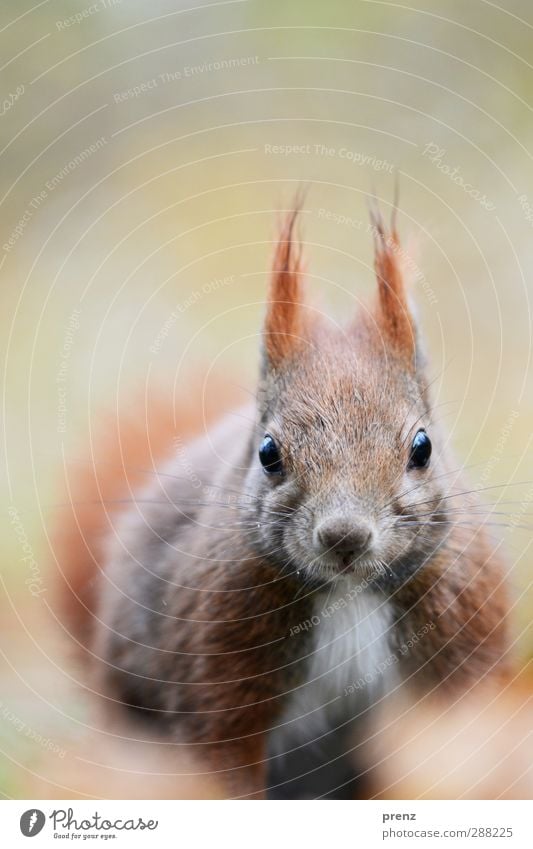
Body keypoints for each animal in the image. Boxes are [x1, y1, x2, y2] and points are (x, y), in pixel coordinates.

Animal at [56, 202, 510, 800]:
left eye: (423, 447)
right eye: (268, 452)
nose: (345, 536)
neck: (347, 595)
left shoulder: (461, 646)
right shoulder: (218, 663)